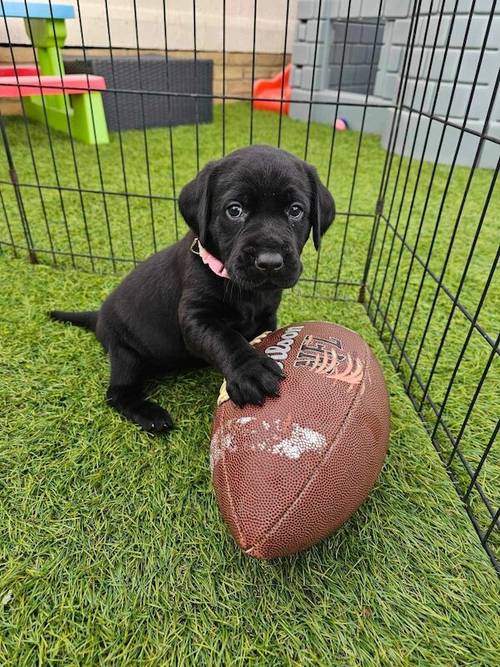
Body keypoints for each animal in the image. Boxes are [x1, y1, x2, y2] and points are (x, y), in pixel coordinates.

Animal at [50, 145, 334, 434]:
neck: (243, 289)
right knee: (118, 391)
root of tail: (98, 318)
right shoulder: (196, 316)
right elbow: (226, 337)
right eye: (235, 210)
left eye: (295, 210)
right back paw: (150, 414)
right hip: (124, 351)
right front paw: (251, 370)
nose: (269, 262)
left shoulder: (267, 315)